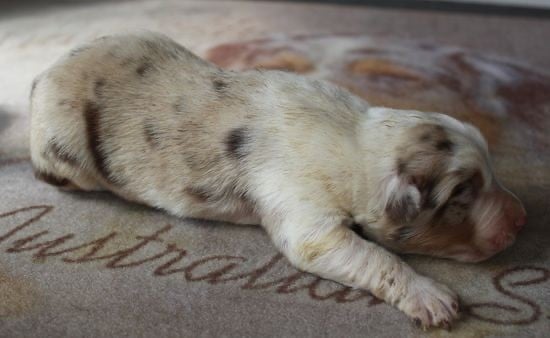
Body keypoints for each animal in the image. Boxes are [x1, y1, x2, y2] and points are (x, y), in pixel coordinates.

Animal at [29, 32, 528, 330]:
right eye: (461, 195)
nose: (523, 219)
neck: (355, 140)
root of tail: (41, 76)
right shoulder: (309, 221)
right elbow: (376, 257)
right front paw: (432, 298)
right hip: (64, 145)